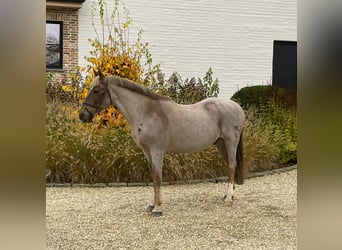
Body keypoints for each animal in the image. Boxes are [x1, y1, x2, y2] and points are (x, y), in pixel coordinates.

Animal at [79, 70, 246, 217]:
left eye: (96, 90)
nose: (82, 115)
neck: (147, 112)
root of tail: (237, 107)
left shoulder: (157, 150)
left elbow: (158, 177)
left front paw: (157, 208)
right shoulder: (147, 151)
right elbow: (153, 176)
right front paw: (152, 204)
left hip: (230, 142)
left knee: (232, 166)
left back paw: (229, 199)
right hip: (221, 144)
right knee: (230, 166)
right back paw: (227, 195)